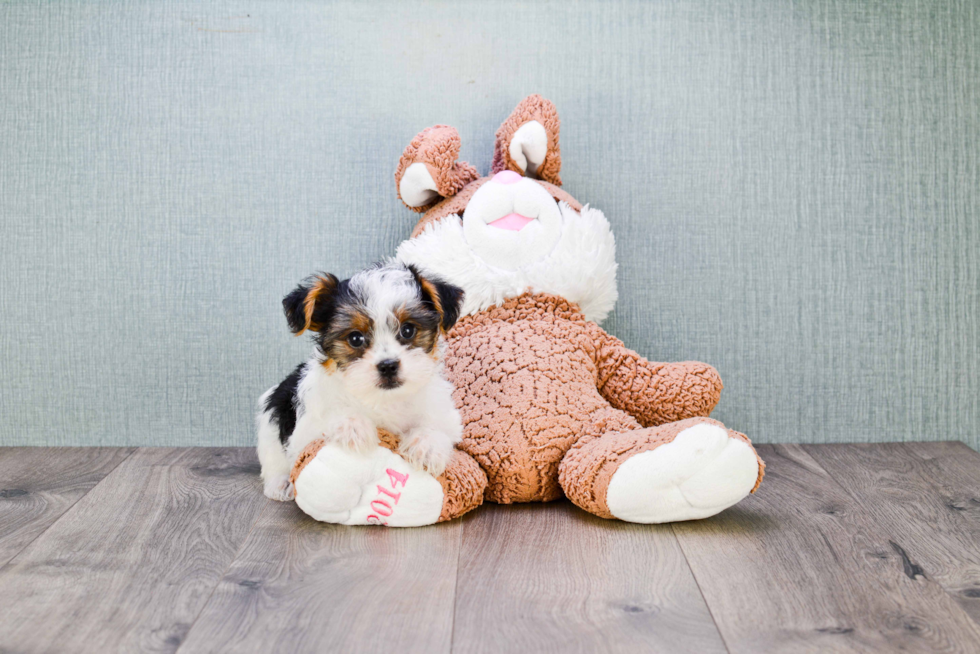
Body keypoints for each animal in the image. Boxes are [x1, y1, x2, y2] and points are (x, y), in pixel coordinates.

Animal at [255, 260, 466, 502]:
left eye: (408, 330)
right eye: (355, 338)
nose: (388, 365)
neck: (383, 398)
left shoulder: (444, 415)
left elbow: (438, 427)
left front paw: (426, 447)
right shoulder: (305, 432)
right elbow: (328, 417)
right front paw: (353, 426)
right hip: (271, 423)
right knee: (273, 460)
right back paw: (280, 484)